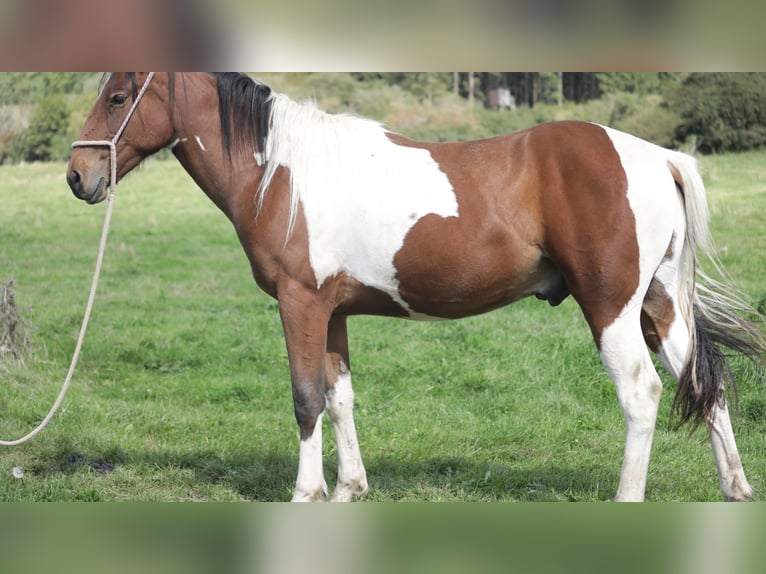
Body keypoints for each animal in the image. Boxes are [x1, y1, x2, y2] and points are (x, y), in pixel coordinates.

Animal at [67, 73, 766, 502]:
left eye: (120, 95)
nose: (78, 175)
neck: (282, 173)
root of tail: (658, 157)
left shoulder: (300, 304)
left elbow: (305, 399)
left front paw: (306, 491)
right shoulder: (334, 312)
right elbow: (339, 397)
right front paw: (349, 488)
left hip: (612, 308)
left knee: (643, 393)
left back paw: (628, 495)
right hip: (660, 305)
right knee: (704, 383)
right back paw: (734, 487)